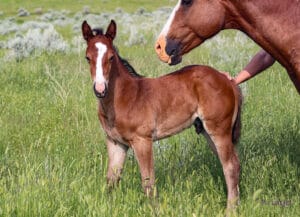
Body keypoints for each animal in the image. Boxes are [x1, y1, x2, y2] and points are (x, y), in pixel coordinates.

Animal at [82, 19, 244, 209]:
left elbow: (148, 181)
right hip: (207, 131)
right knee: (233, 162)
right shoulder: (116, 142)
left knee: (231, 166)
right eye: (88, 58)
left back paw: (230, 209)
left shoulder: (142, 140)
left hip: (219, 129)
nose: (100, 89)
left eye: (111, 57)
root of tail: (228, 80)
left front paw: (154, 209)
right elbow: (112, 180)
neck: (125, 97)